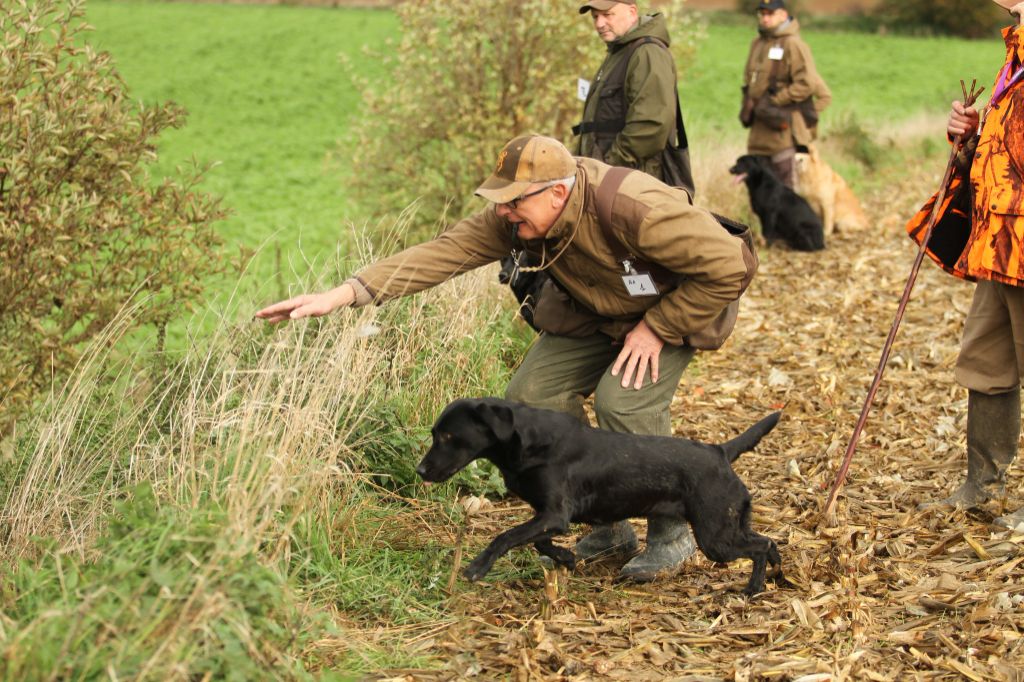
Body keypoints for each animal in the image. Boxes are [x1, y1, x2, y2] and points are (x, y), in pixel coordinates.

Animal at [415, 395, 782, 593]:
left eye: (448, 436)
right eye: (435, 433)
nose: (419, 470)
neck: (530, 443)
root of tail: (720, 451)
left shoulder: (554, 515)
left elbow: (505, 537)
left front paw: (477, 567)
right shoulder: (549, 516)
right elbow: (538, 542)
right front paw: (566, 558)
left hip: (715, 536)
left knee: (761, 546)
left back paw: (753, 588)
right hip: (728, 525)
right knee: (769, 542)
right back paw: (776, 577)